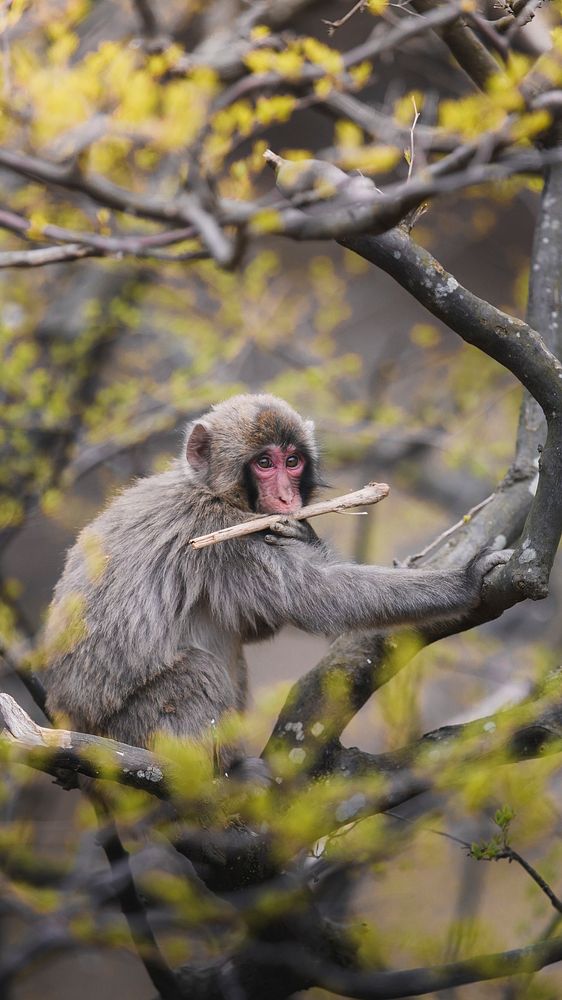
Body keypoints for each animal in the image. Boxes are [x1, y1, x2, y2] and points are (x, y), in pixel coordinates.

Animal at [42, 392, 508, 764]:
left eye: (293, 461)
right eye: (264, 463)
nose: (286, 497)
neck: (210, 489)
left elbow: (252, 624)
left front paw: (305, 533)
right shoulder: (219, 535)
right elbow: (314, 597)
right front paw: (465, 582)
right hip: (130, 729)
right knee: (195, 673)